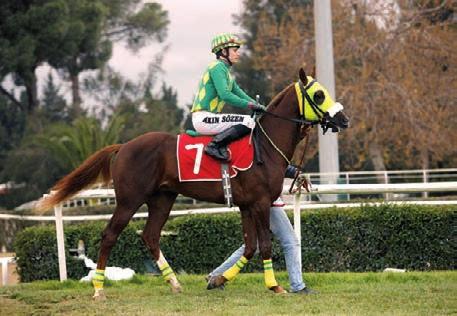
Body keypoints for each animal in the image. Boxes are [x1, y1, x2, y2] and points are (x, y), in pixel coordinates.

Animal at [40, 68, 350, 300]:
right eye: (319, 94)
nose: (343, 119)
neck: (265, 145)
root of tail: (124, 146)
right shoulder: (261, 203)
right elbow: (263, 245)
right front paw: (275, 285)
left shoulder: (247, 206)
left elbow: (249, 247)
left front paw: (218, 280)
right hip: (129, 200)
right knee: (109, 236)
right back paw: (98, 289)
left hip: (162, 199)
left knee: (150, 236)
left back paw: (174, 283)